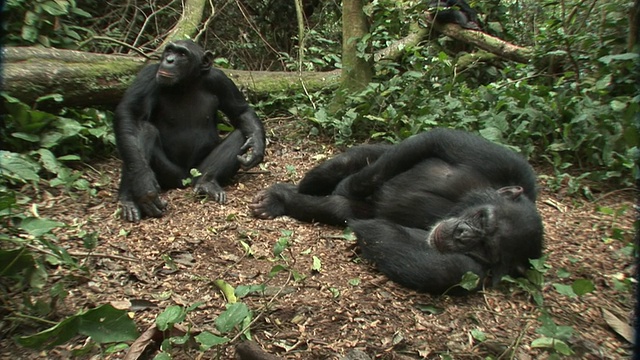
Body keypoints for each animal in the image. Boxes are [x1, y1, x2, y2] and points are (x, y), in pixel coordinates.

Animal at [115, 40, 264, 224]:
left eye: (182, 54)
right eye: (169, 50)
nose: (169, 60)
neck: (187, 82)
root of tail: (184, 180)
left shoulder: (220, 80)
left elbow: (241, 112)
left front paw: (257, 147)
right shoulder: (148, 75)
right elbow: (131, 113)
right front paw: (144, 184)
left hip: (198, 170)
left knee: (240, 134)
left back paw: (207, 183)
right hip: (170, 175)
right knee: (143, 130)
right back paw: (130, 200)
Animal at [252, 128, 544, 294]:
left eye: (486, 249)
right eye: (483, 217)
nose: (463, 234)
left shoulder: (468, 273)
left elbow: (398, 246)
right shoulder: (506, 163)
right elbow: (437, 140)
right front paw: (349, 184)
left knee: (340, 207)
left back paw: (282, 200)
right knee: (352, 163)